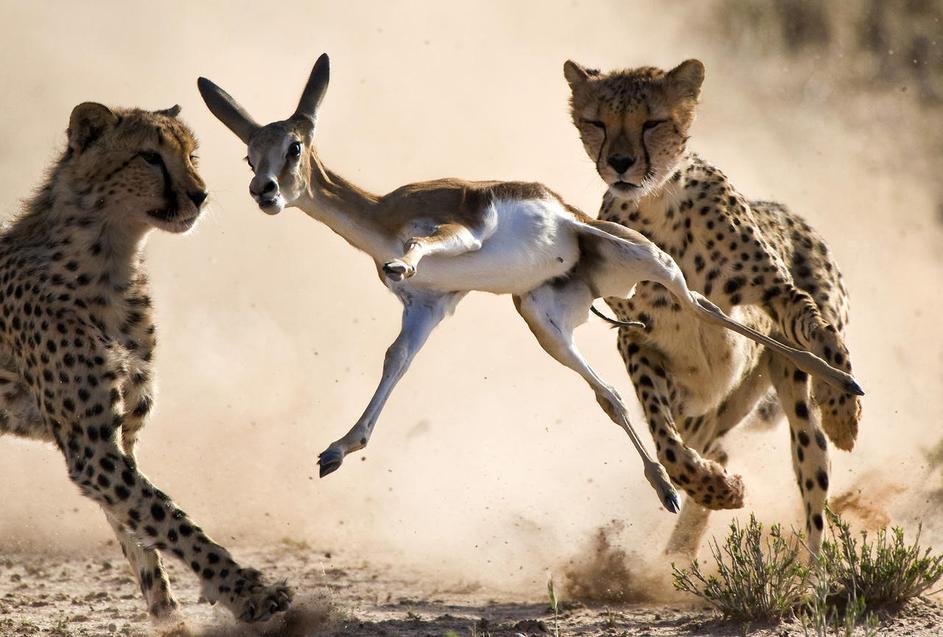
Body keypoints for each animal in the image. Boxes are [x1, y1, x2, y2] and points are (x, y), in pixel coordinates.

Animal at [0, 103, 292, 620]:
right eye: (150, 158)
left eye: (192, 155)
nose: (200, 194)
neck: (111, 258)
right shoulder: (92, 448)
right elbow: (167, 518)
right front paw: (246, 591)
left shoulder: (119, 441)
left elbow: (142, 539)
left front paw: (171, 618)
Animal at [199, 54, 864, 512]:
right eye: (249, 156)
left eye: (294, 147)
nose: (265, 193)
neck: (382, 215)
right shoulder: (429, 307)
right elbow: (395, 361)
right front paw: (337, 450)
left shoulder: (463, 230)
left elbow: (418, 248)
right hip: (543, 318)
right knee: (611, 394)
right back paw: (669, 491)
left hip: (653, 267)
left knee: (712, 310)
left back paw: (844, 388)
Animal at [564, 60, 868, 556]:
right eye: (597, 122)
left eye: (652, 122)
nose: (620, 163)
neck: (657, 202)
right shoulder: (635, 337)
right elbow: (664, 441)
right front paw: (719, 488)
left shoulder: (777, 294)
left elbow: (827, 340)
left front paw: (844, 412)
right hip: (707, 407)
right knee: (711, 445)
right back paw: (681, 546)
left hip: (789, 399)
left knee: (813, 489)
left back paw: (812, 569)